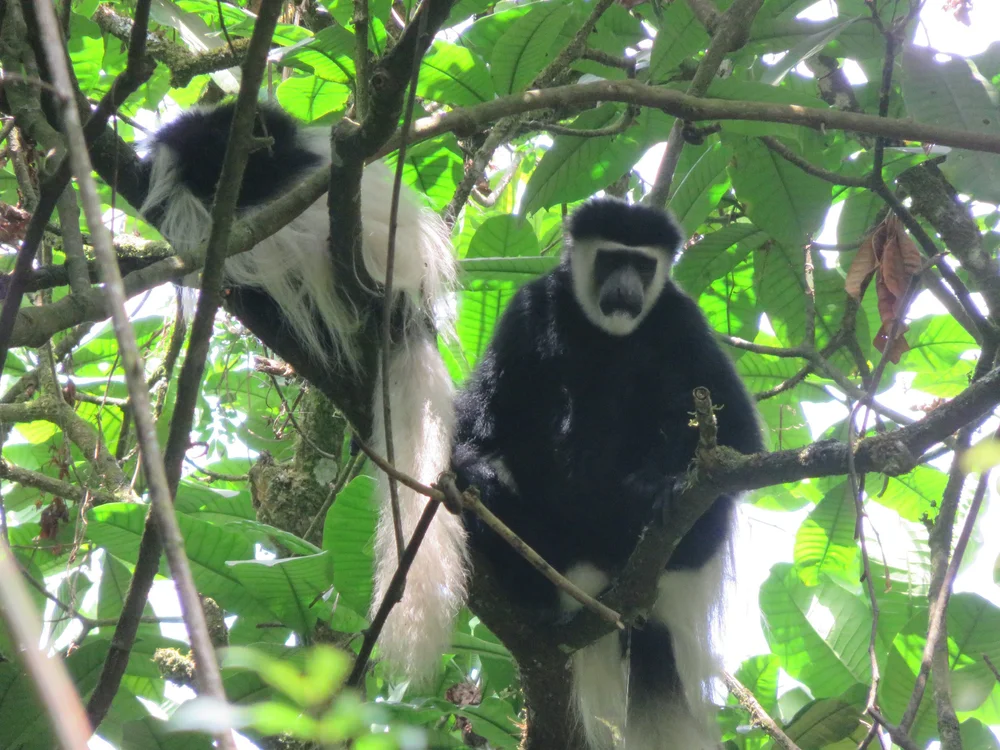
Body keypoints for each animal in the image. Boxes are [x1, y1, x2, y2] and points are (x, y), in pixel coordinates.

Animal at [450, 198, 765, 749]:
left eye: (642, 265)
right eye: (611, 259)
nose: (626, 289)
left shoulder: (681, 318)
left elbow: (739, 433)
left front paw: (659, 487)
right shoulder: (530, 308)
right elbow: (481, 419)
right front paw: (478, 475)